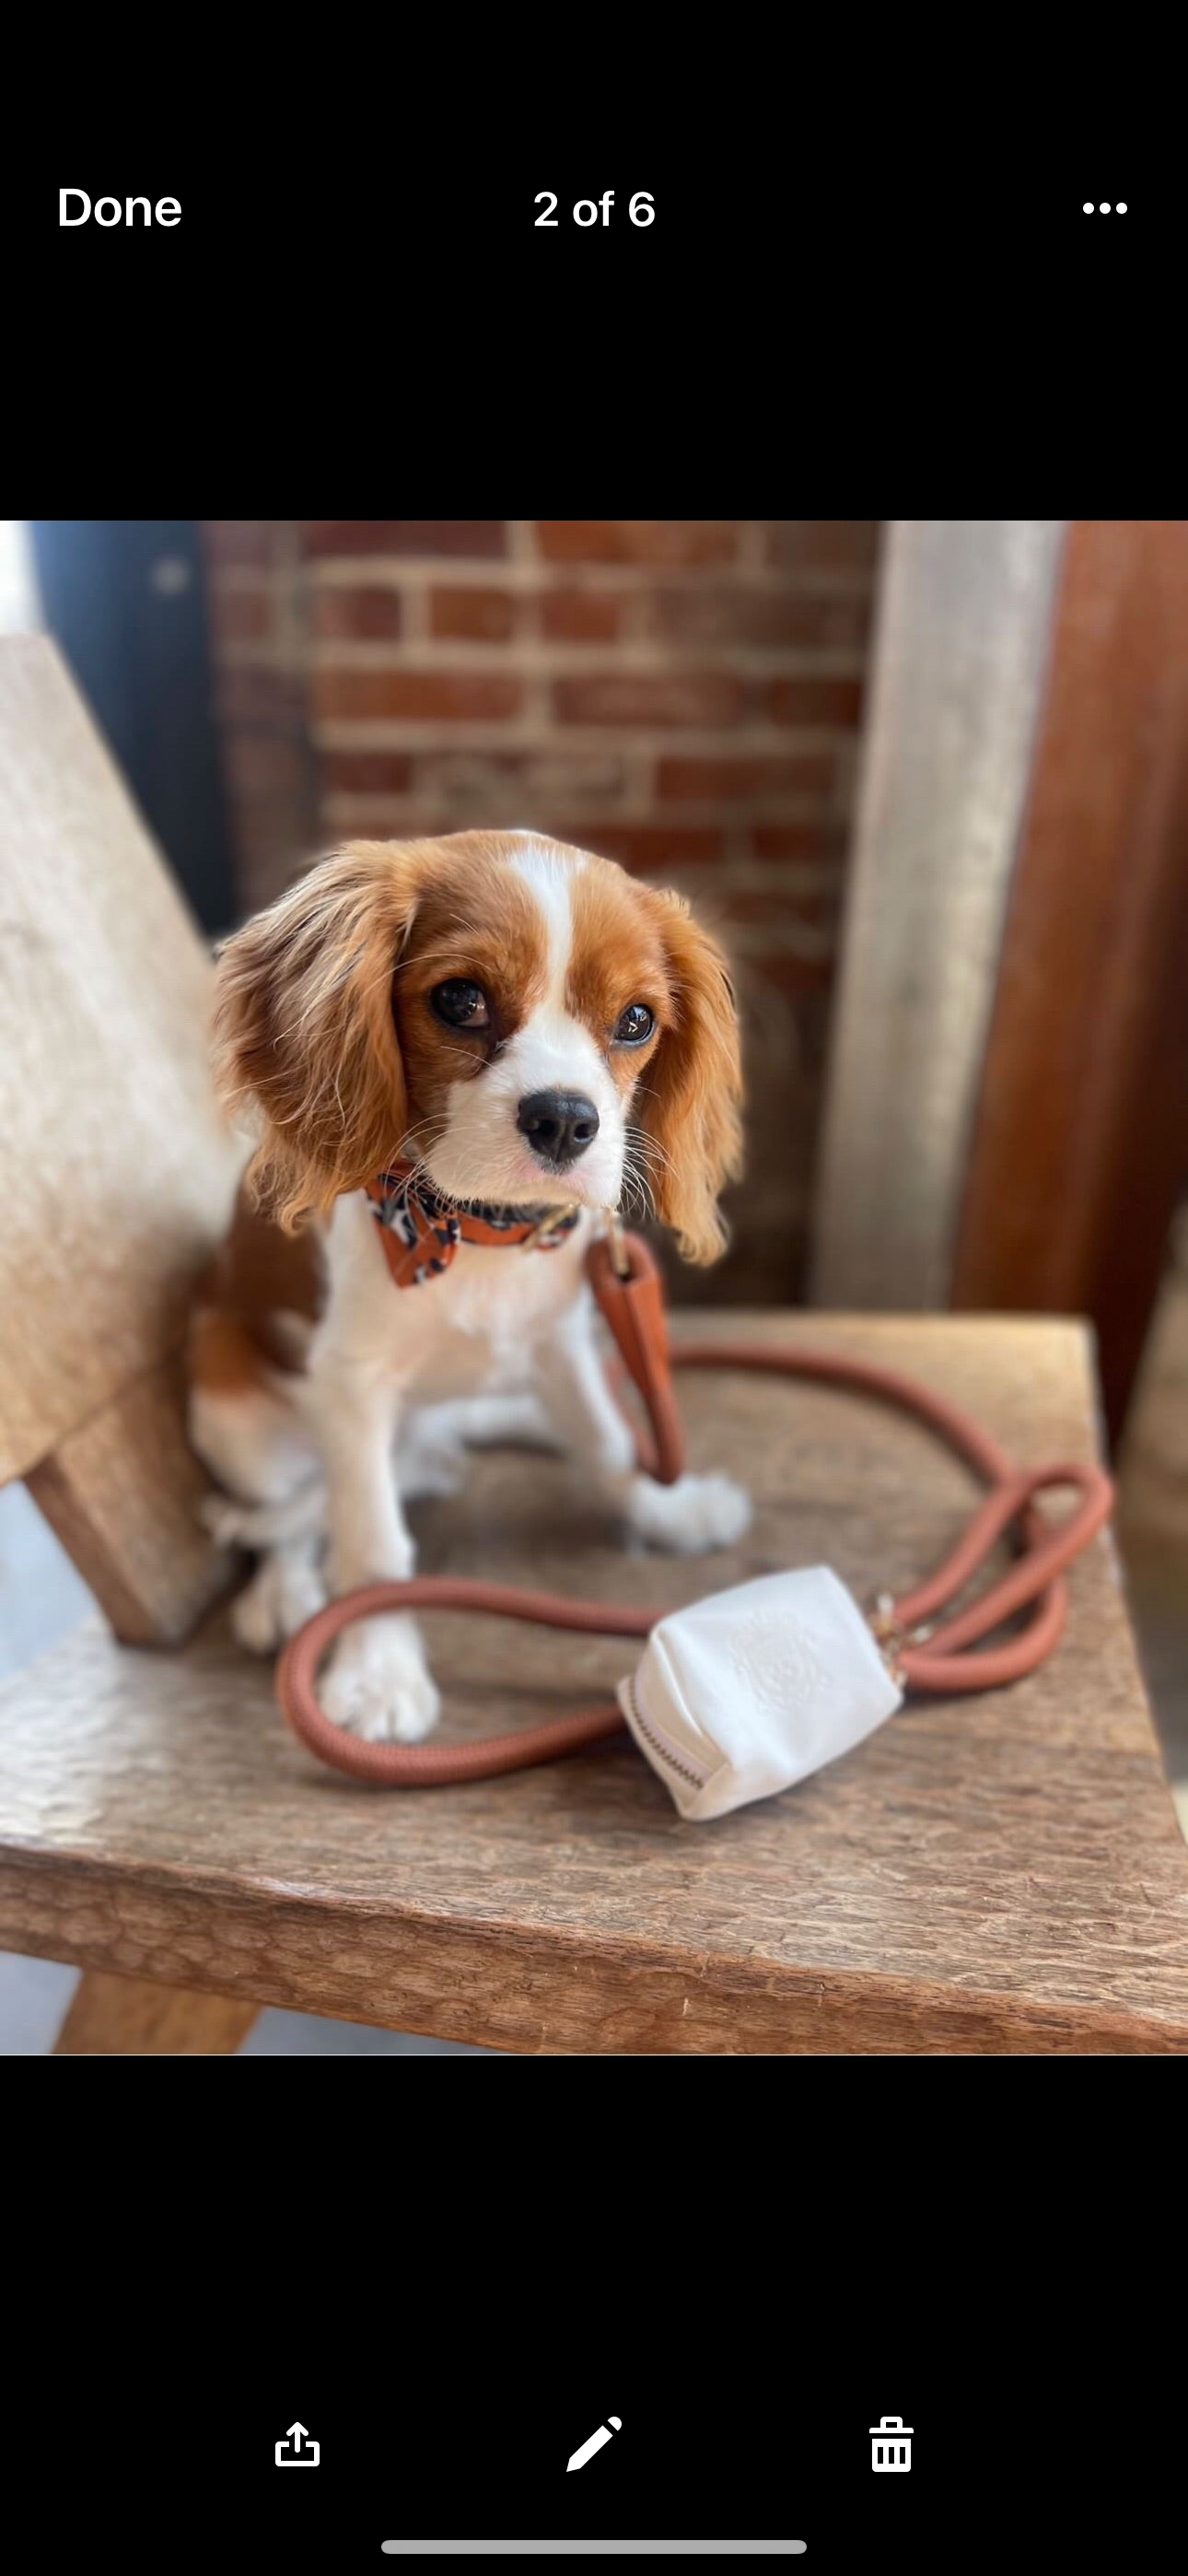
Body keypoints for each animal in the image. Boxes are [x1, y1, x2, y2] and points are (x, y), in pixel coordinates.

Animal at [188, 834, 747, 1741]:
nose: (566, 1119)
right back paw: (282, 1587)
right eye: (460, 1000)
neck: (478, 1226)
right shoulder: (349, 1383)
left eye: (636, 1021)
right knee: (300, 1507)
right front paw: (377, 1673)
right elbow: (372, 1545)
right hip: (231, 1411)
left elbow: (606, 1440)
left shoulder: (560, 1341)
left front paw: (662, 1510)